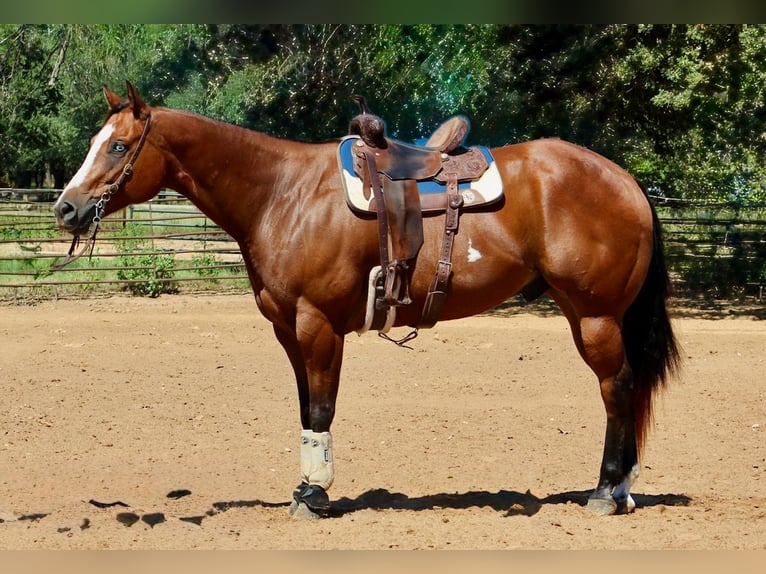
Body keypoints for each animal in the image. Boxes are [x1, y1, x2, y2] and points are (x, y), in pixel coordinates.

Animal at [53, 81, 680, 518]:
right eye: (93, 143)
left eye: (117, 146)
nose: (65, 208)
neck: (282, 194)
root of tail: (625, 179)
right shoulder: (289, 329)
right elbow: (306, 408)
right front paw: (306, 486)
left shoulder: (318, 325)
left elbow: (323, 408)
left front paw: (314, 495)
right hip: (583, 311)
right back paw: (622, 490)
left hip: (596, 315)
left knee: (617, 388)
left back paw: (605, 491)